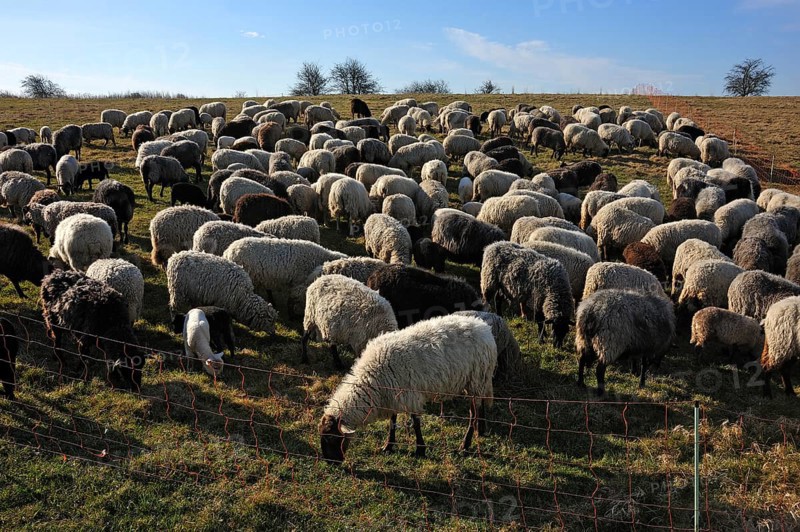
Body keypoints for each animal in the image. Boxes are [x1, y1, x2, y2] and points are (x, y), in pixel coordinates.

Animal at [319, 313, 495, 462]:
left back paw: (465, 445)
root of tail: (484, 327)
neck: (372, 376)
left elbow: (415, 422)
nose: (330, 462)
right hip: (479, 381)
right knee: (481, 405)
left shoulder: (409, 395)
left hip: (476, 379)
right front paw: (388, 446)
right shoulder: (393, 393)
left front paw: (420, 449)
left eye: (331, 437)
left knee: (473, 413)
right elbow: (393, 421)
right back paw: (481, 429)